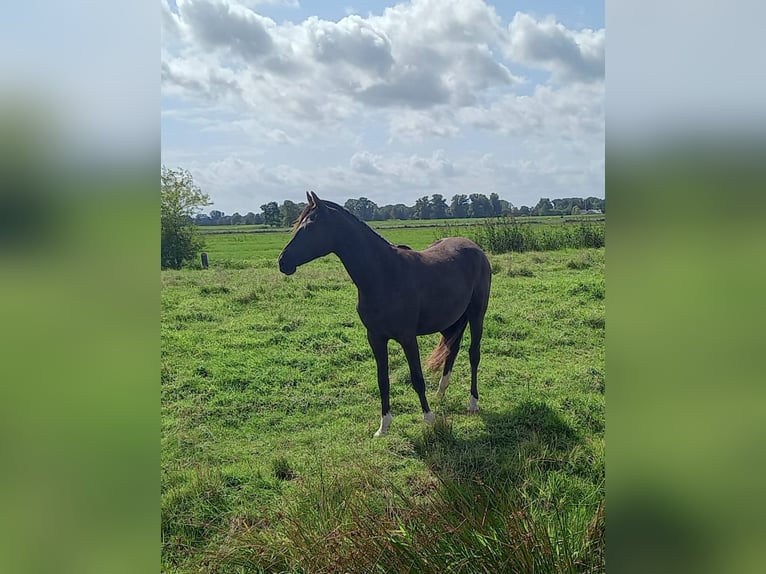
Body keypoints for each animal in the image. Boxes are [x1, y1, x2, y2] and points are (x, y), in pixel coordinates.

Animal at [278, 191, 492, 438]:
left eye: (310, 226)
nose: (282, 261)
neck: (383, 275)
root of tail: (475, 248)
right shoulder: (376, 338)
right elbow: (383, 380)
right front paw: (383, 426)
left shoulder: (407, 337)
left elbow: (417, 378)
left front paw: (429, 419)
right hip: (453, 320)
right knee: (452, 350)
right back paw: (440, 394)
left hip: (477, 315)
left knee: (473, 354)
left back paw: (473, 403)